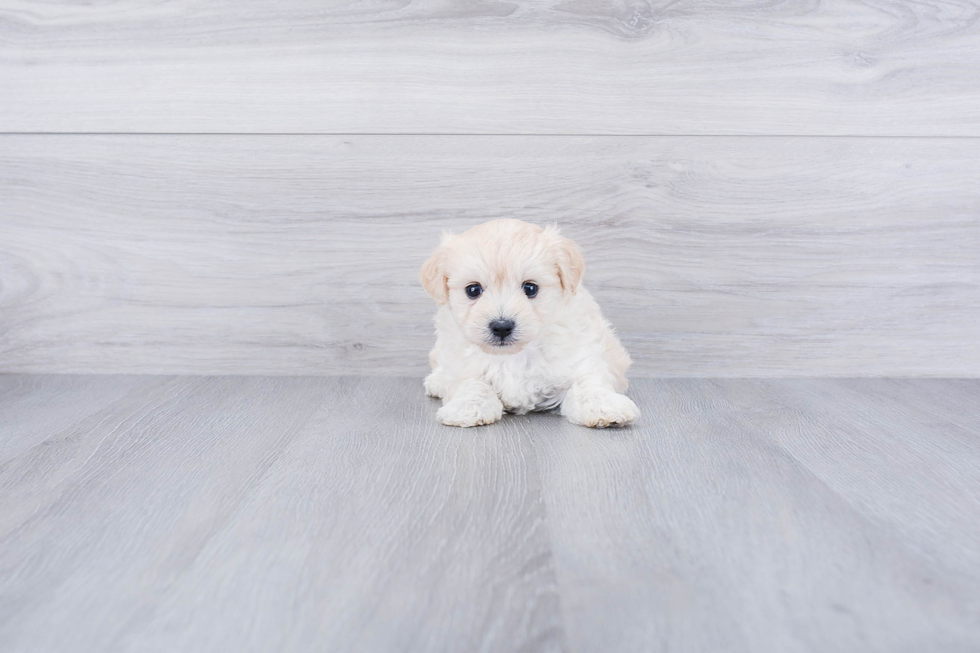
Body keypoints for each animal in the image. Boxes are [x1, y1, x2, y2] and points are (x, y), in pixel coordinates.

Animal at [420, 219, 636, 428]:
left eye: (531, 288)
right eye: (473, 290)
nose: (501, 327)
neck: (514, 355)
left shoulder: (580, 359)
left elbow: (587, 384)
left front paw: (604, 407)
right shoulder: (461, 366)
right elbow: (472, 384)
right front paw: (468, 407)